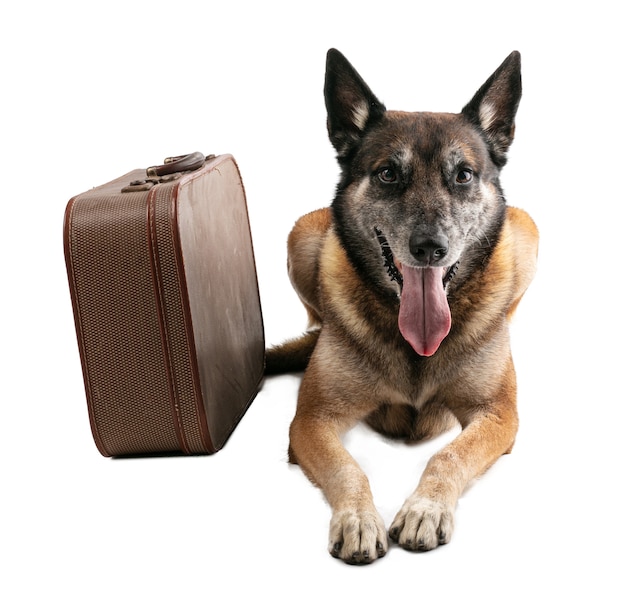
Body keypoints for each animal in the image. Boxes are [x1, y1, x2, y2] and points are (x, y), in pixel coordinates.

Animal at [264, 50, 536, 568]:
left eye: (463, 175)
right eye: (388, 173)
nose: (430, 248)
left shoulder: (497, 416)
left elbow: (447, 455)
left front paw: (424, 509)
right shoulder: (312, 421)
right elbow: (347, 468)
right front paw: (357, 519)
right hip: (302, 235)